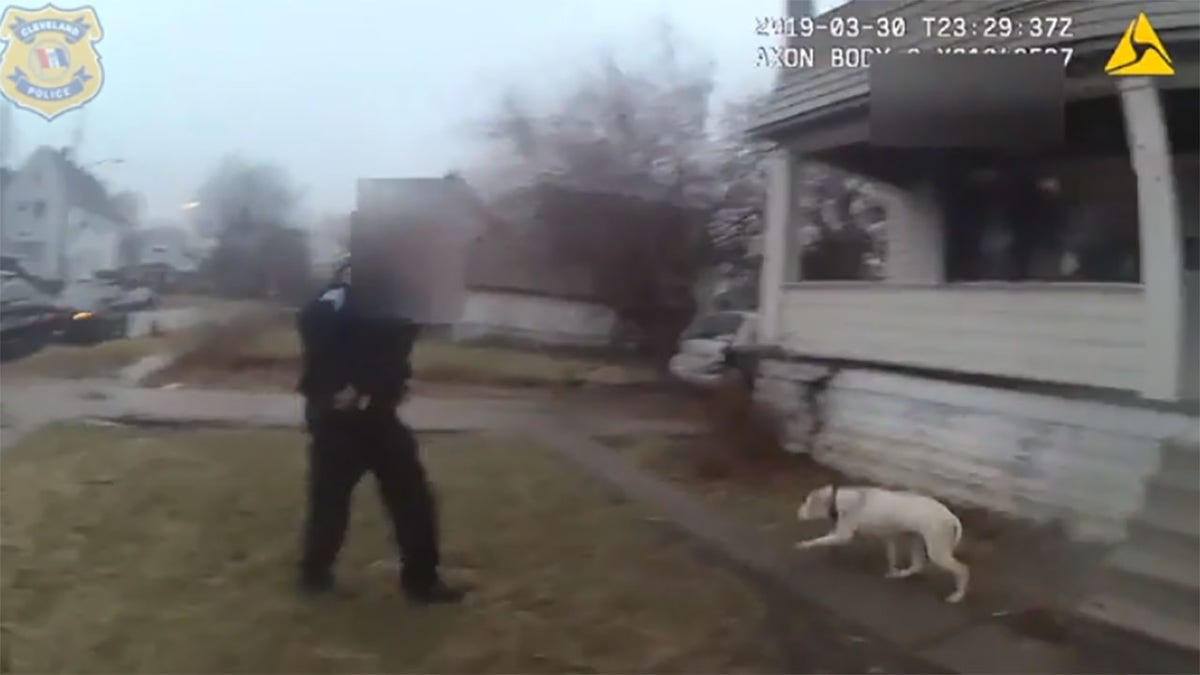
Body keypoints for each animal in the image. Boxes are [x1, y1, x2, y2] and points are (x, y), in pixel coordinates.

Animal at [792, 480, 969, 600]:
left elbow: (820, 540)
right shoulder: (889, 538)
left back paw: (958, 595)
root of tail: (950, 516)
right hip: (916, 540)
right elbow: (891, 556)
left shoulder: (844, 535)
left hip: (937, 551)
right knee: (917, 565)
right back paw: (902, 574)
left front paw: (805, 545)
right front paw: (893, 570)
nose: (797, 512)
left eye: (806, 502)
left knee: (962, 570)